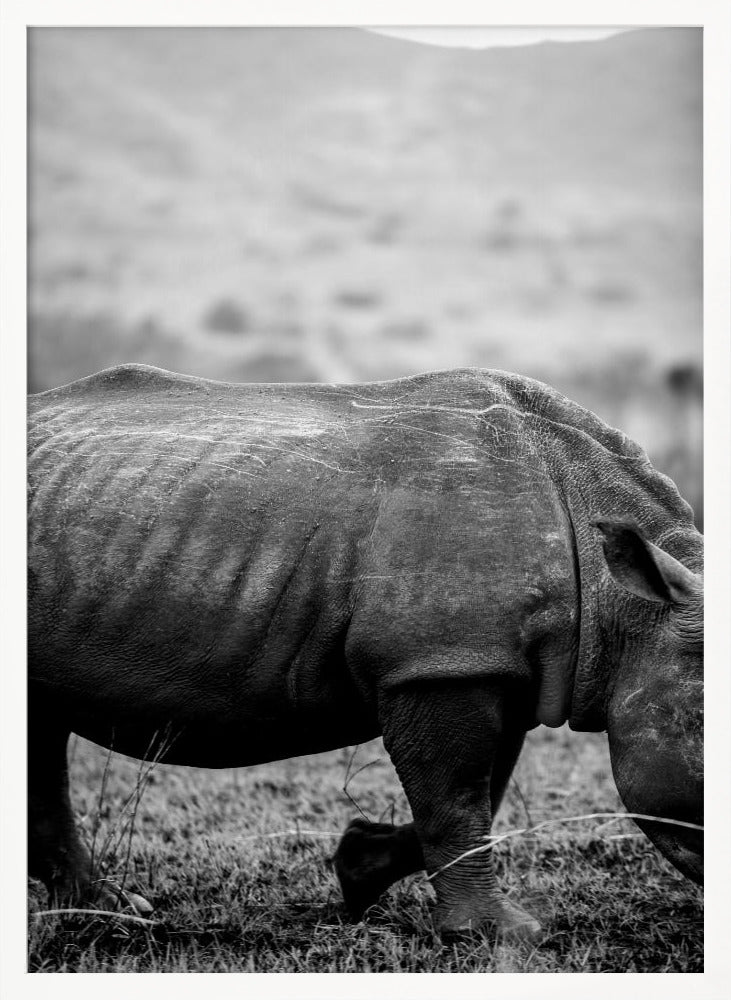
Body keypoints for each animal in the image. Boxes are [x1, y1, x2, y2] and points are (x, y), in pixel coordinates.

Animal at [28, 364, 703, 938]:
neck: (629, 609)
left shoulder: (486, 663)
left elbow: (481, 789)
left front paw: (360, 869)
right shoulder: (438, 663)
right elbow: (457, 796)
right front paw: (498, 935)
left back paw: (105, 908)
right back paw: (112, 911)